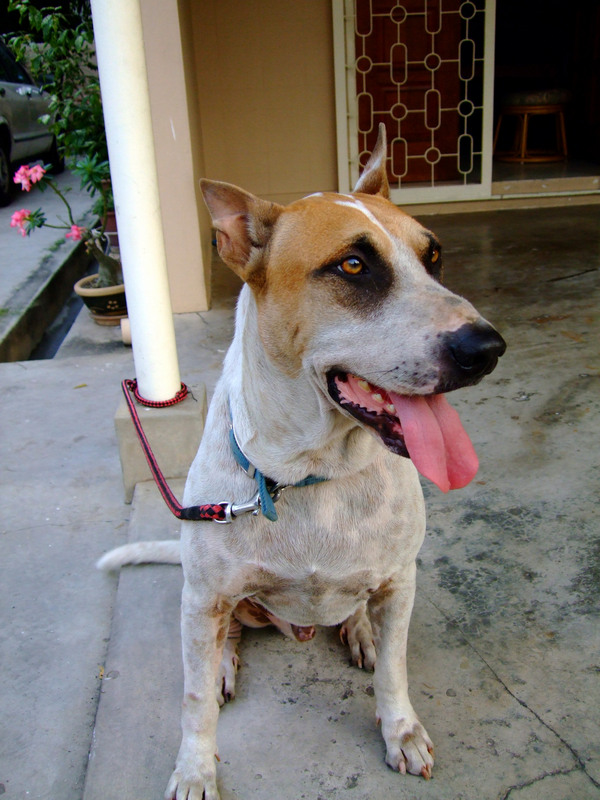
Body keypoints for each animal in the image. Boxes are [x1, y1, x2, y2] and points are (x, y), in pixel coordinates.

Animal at [98, 125, 506, 800]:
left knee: (359, 618)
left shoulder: (400, 581)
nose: (489, 348)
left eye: (434, 256)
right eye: (353, 265)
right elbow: (192, 702)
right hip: (216, 601)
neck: (314, 473)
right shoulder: (203, 596)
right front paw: (195, 768)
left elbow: (395, 670)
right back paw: (226, 661)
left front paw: (400, 729)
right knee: (227, 637)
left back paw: (359, 631)